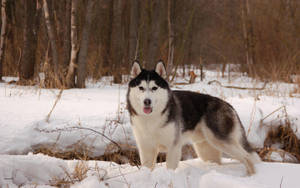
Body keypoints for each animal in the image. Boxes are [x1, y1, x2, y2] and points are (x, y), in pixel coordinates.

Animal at [127, 60, 260, 175]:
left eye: (154, 88)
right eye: (141, 88)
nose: (147, 101)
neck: (151, 119)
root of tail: (228, 105)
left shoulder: (173, 148)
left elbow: (170, 168)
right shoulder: (146, 149)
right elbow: (147, 168)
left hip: (221, 141)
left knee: (247, 157)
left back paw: (250, 176)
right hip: (206, 150)